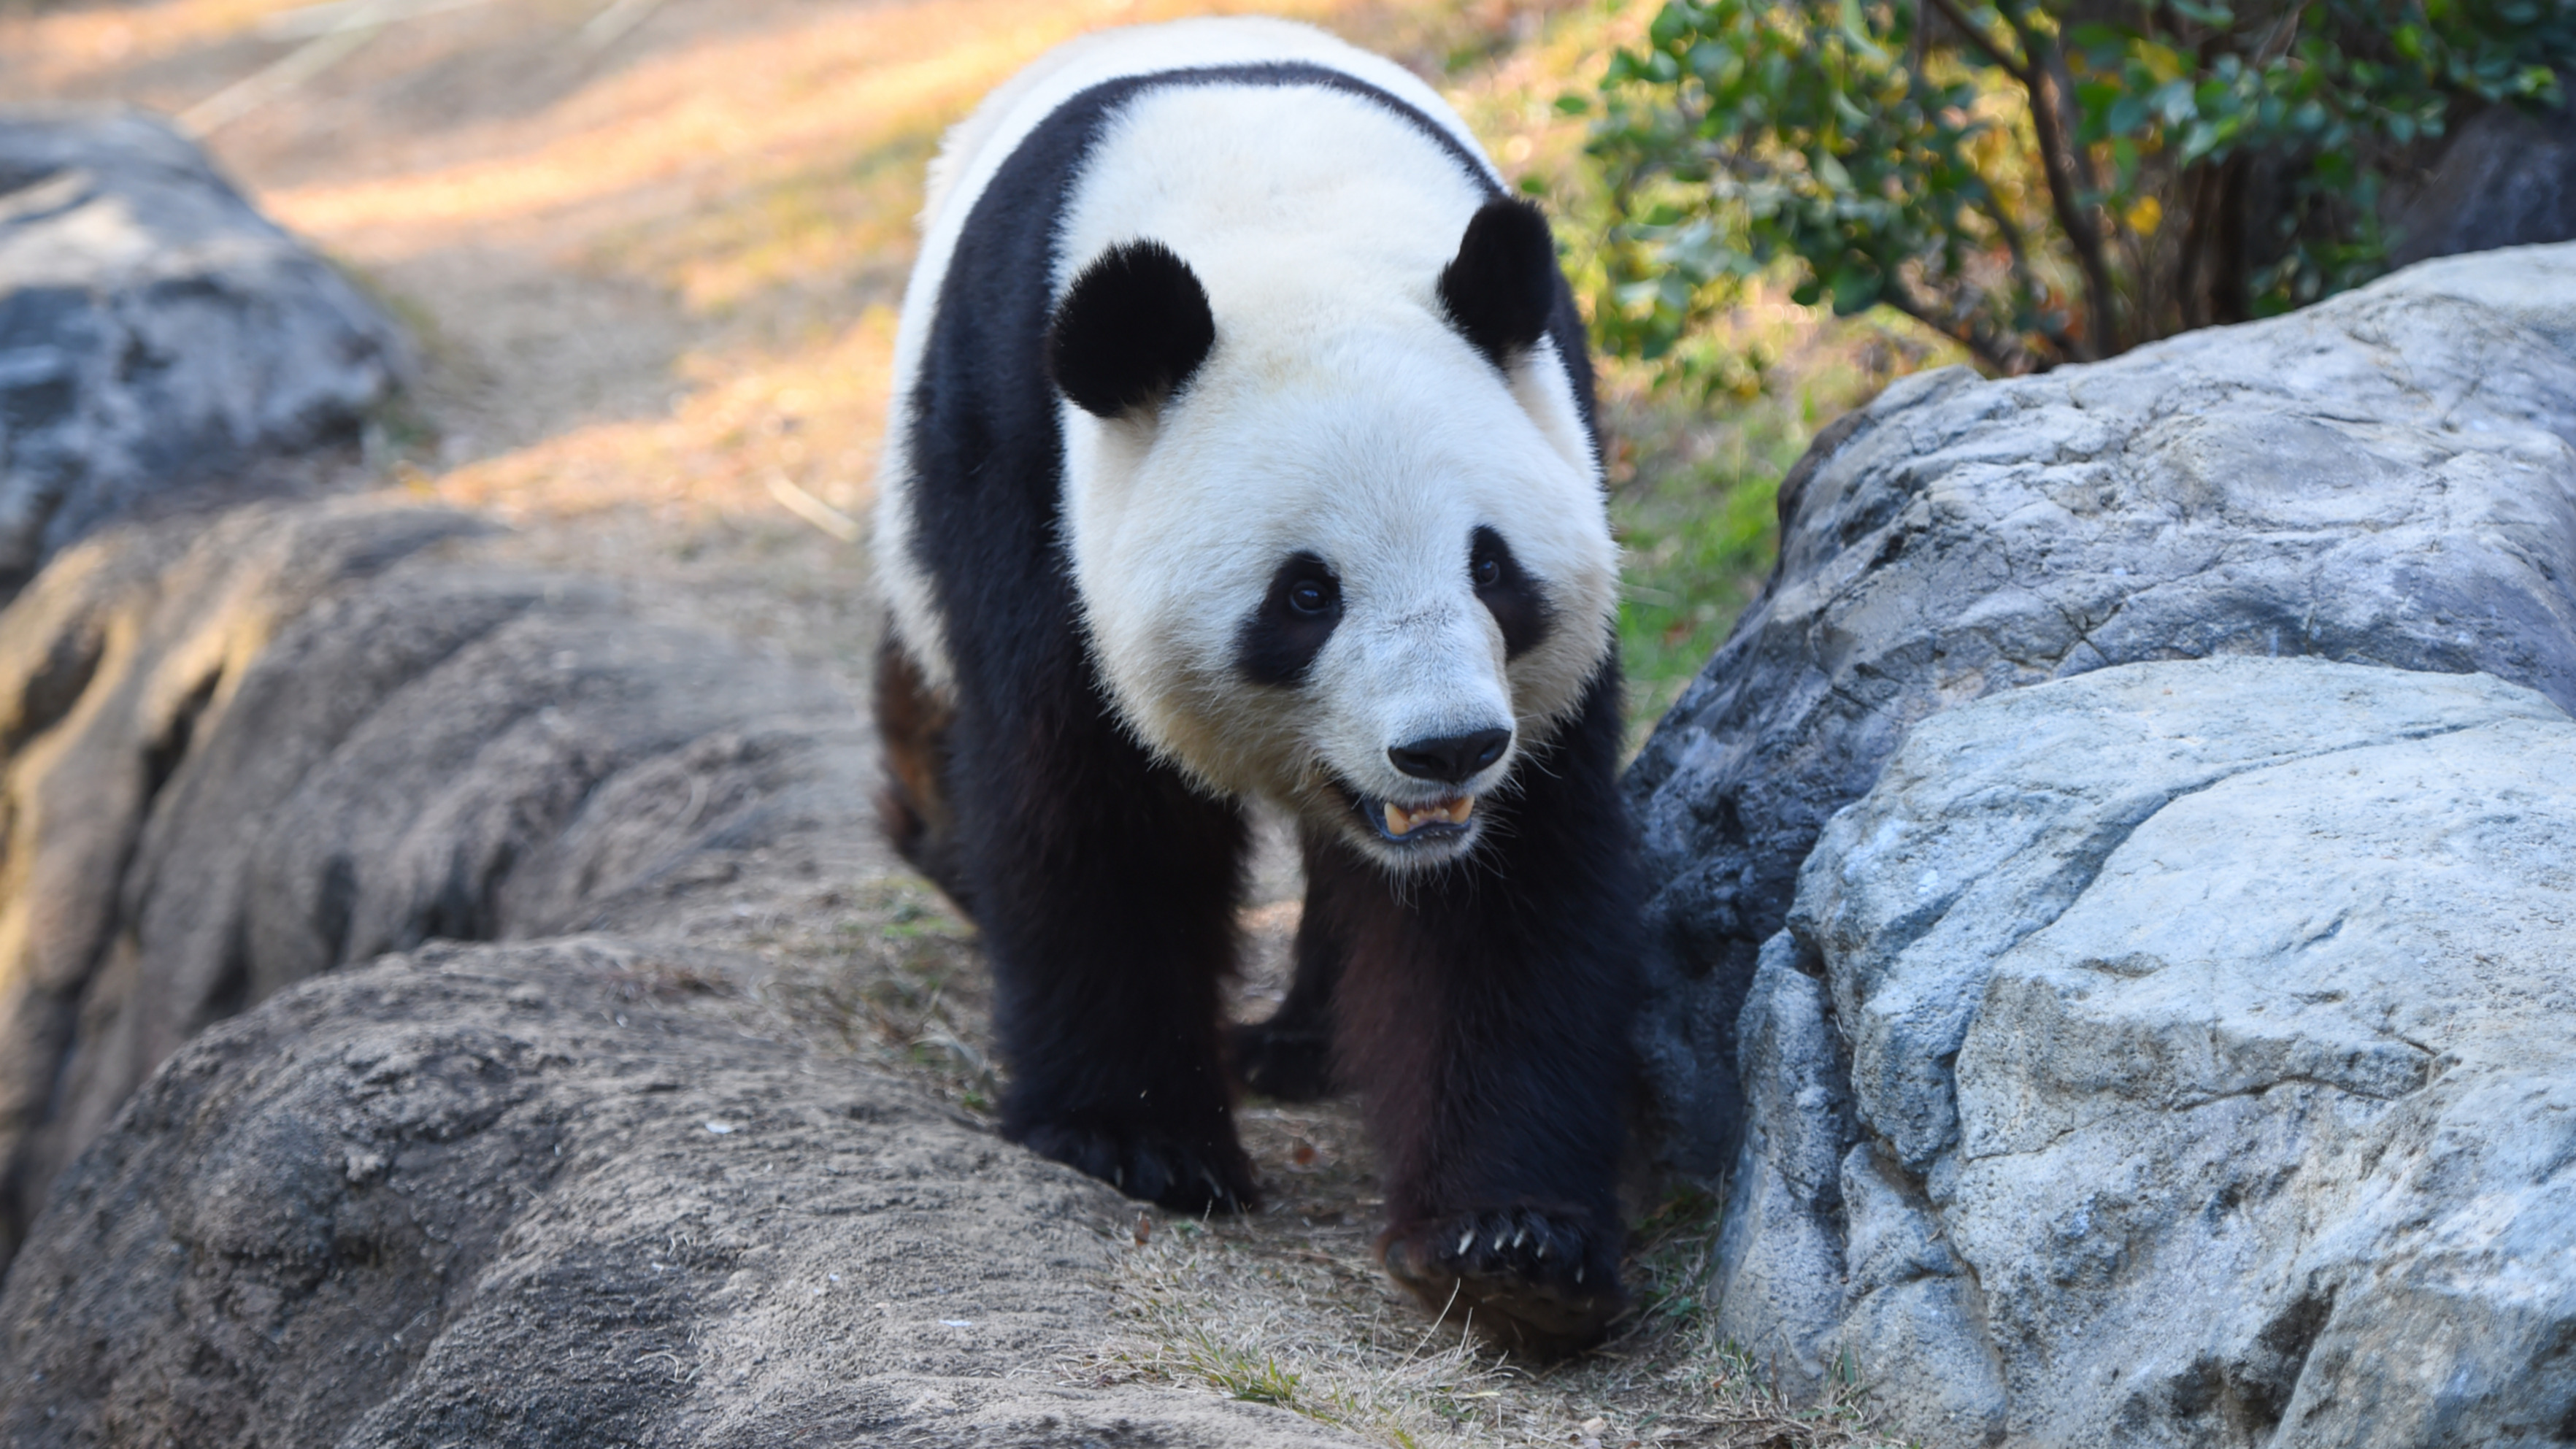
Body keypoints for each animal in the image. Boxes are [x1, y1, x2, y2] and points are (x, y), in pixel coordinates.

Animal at [871, 16, 1644, 1353]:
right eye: (1305, 594)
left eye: (1490, 565)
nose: (1446, 749)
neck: (1280, 213)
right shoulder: (1024, 474)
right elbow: (1091, 805)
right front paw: (1134, 1141)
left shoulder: (1557, 436)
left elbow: (1506, 893)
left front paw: (1513, 1244)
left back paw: (1303, 1045)